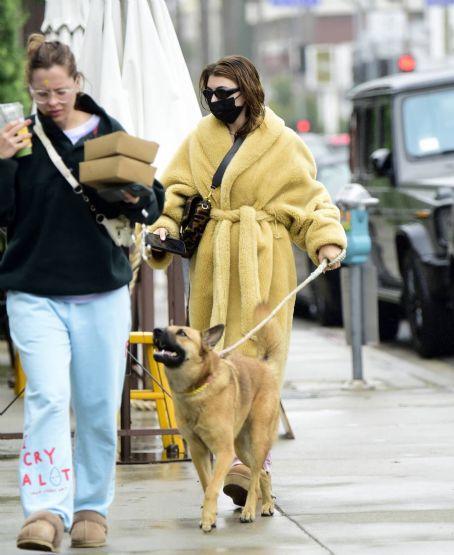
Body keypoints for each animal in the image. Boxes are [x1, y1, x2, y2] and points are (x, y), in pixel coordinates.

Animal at [153, 304, 284, 536]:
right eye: (167, 328)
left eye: (182, 333)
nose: (156, 331)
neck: (197, 390)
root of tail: (264, 366)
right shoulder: (199, 452)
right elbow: (207, 484)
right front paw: (211, 515)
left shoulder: (223, 452)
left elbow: (213, 487)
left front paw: (207, 519)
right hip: (241, 448)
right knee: (260, 473)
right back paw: (268, 504)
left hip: (256, 440)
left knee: (256, 476)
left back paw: (249, 510)